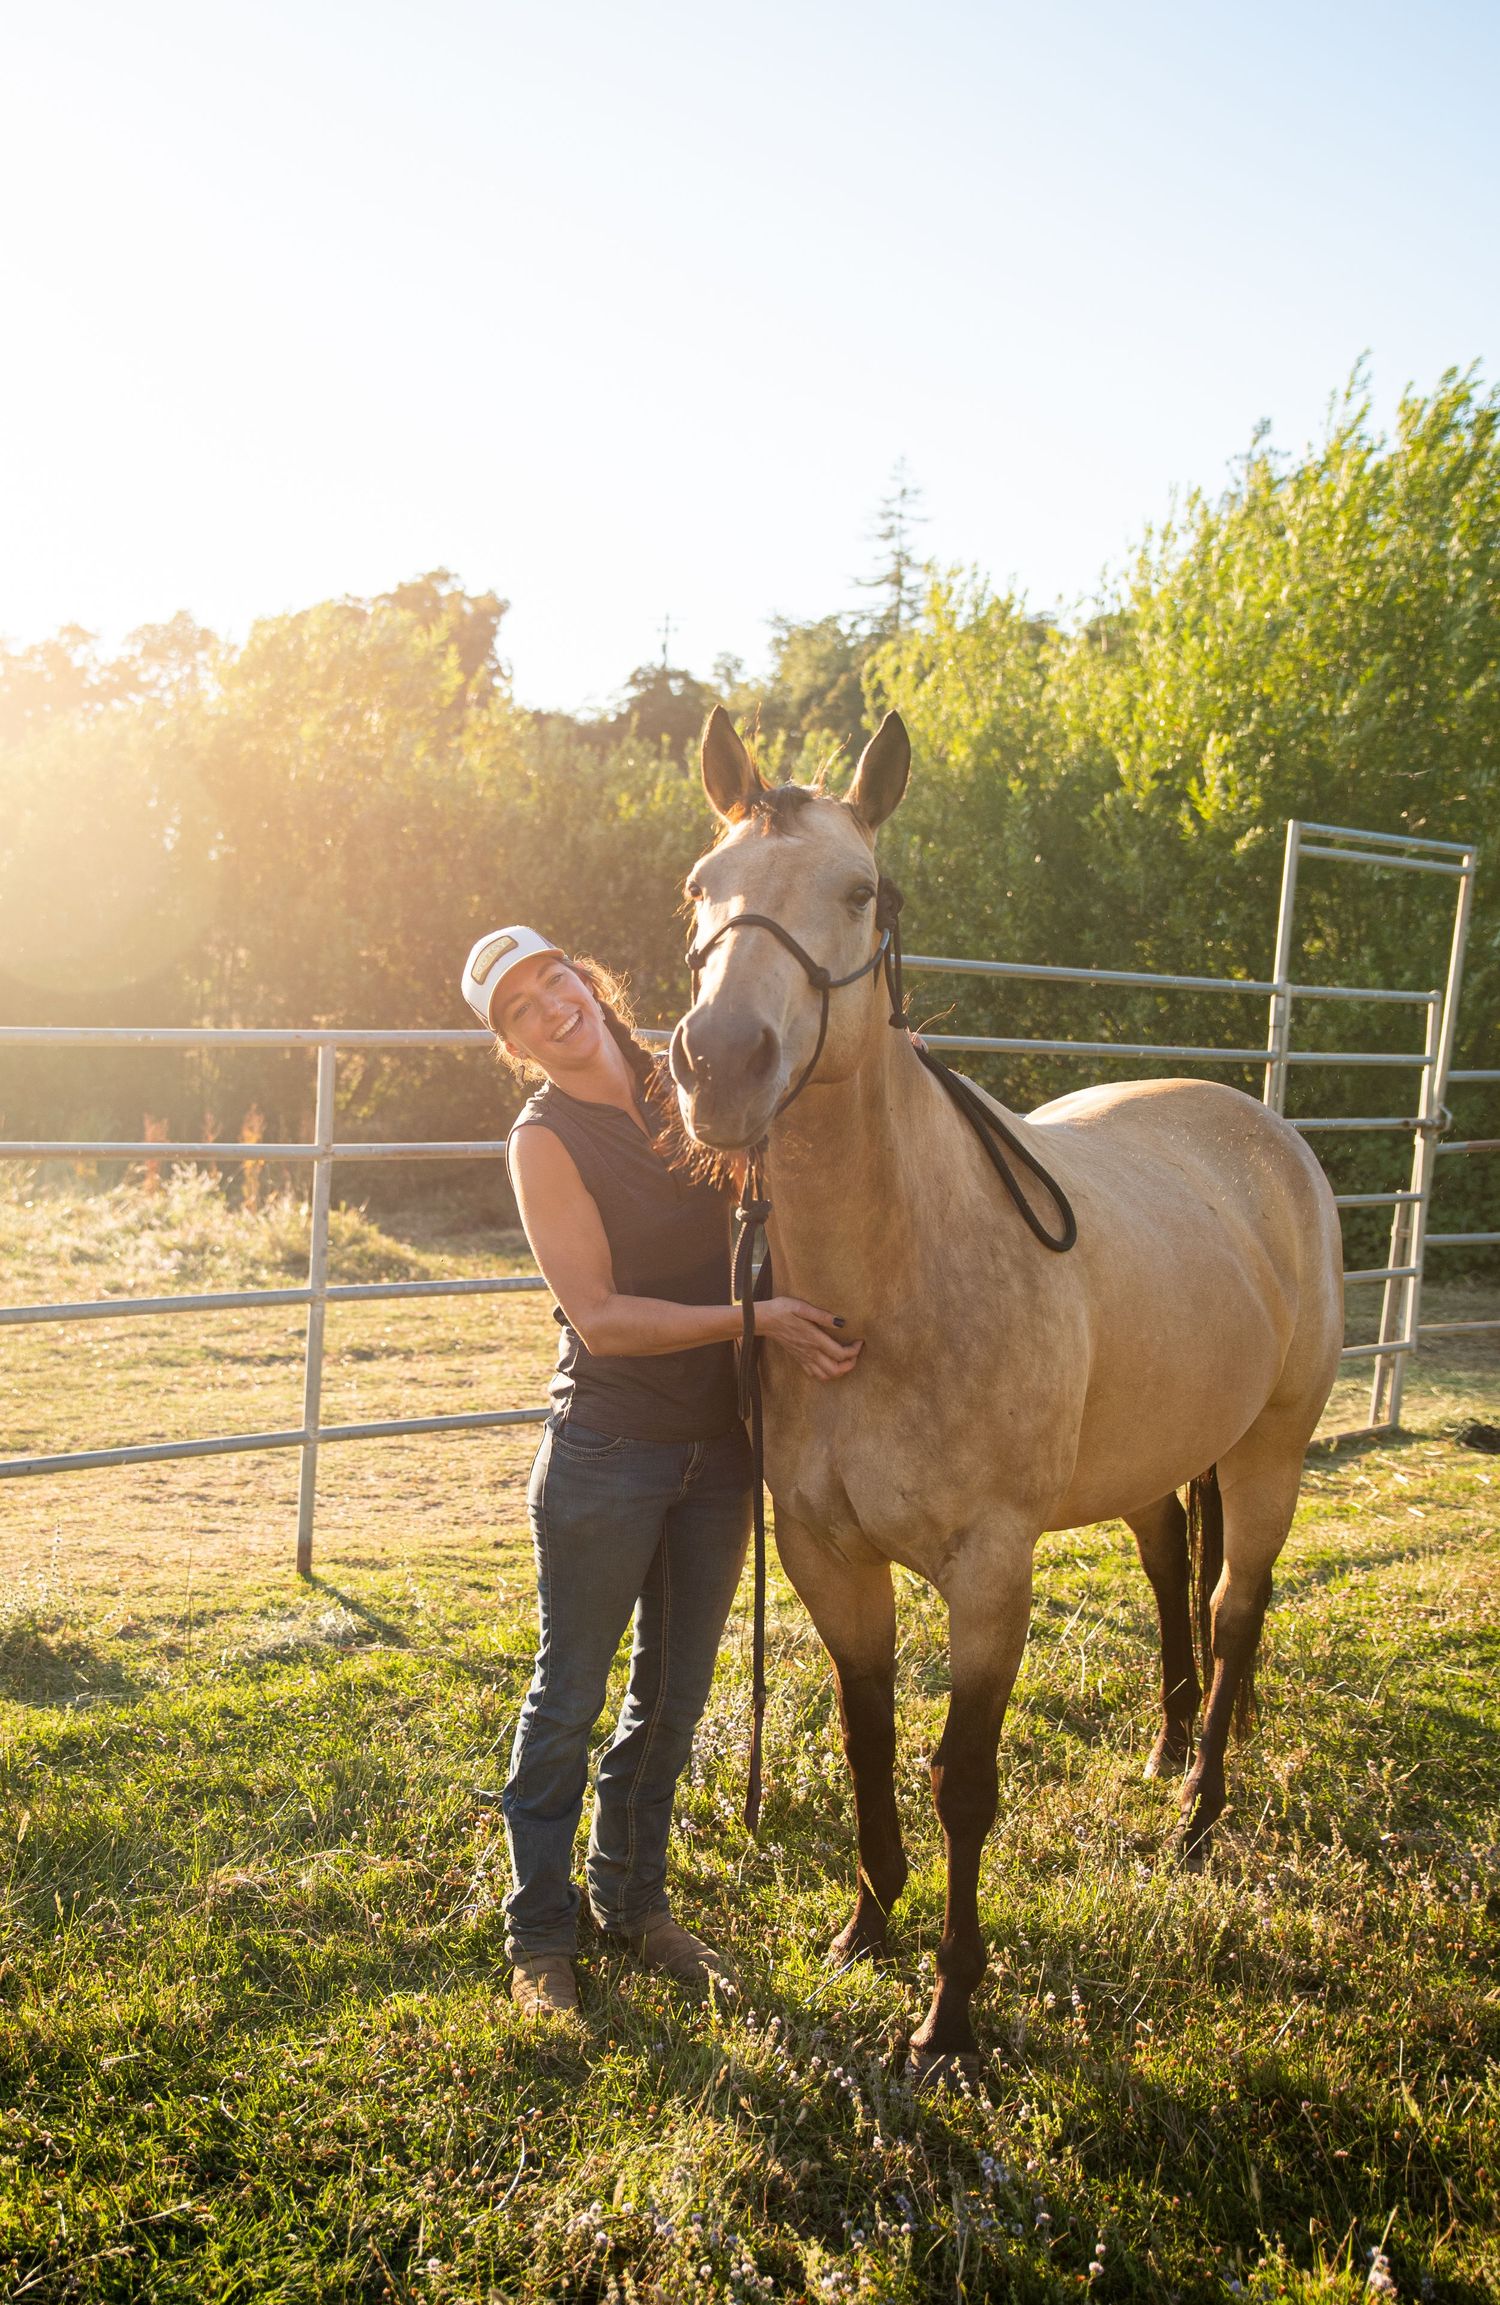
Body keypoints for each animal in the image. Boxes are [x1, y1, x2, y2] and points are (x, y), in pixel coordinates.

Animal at [668, 705, 1344, 2074]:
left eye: (859, 891)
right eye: (702, 888)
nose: (720, 1062)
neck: (888, 1285)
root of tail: (1270, 1136)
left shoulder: (990, 1571)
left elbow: (960, 1780)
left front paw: (950, 2010)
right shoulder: (825, 1552)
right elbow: (867, 1734)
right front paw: (866, 1924)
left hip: (1272, 1449)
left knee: (1238, 1606)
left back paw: (1200, 1815)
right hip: (1157, 1457)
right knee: (1171, 1569)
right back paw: (1166, 1748)